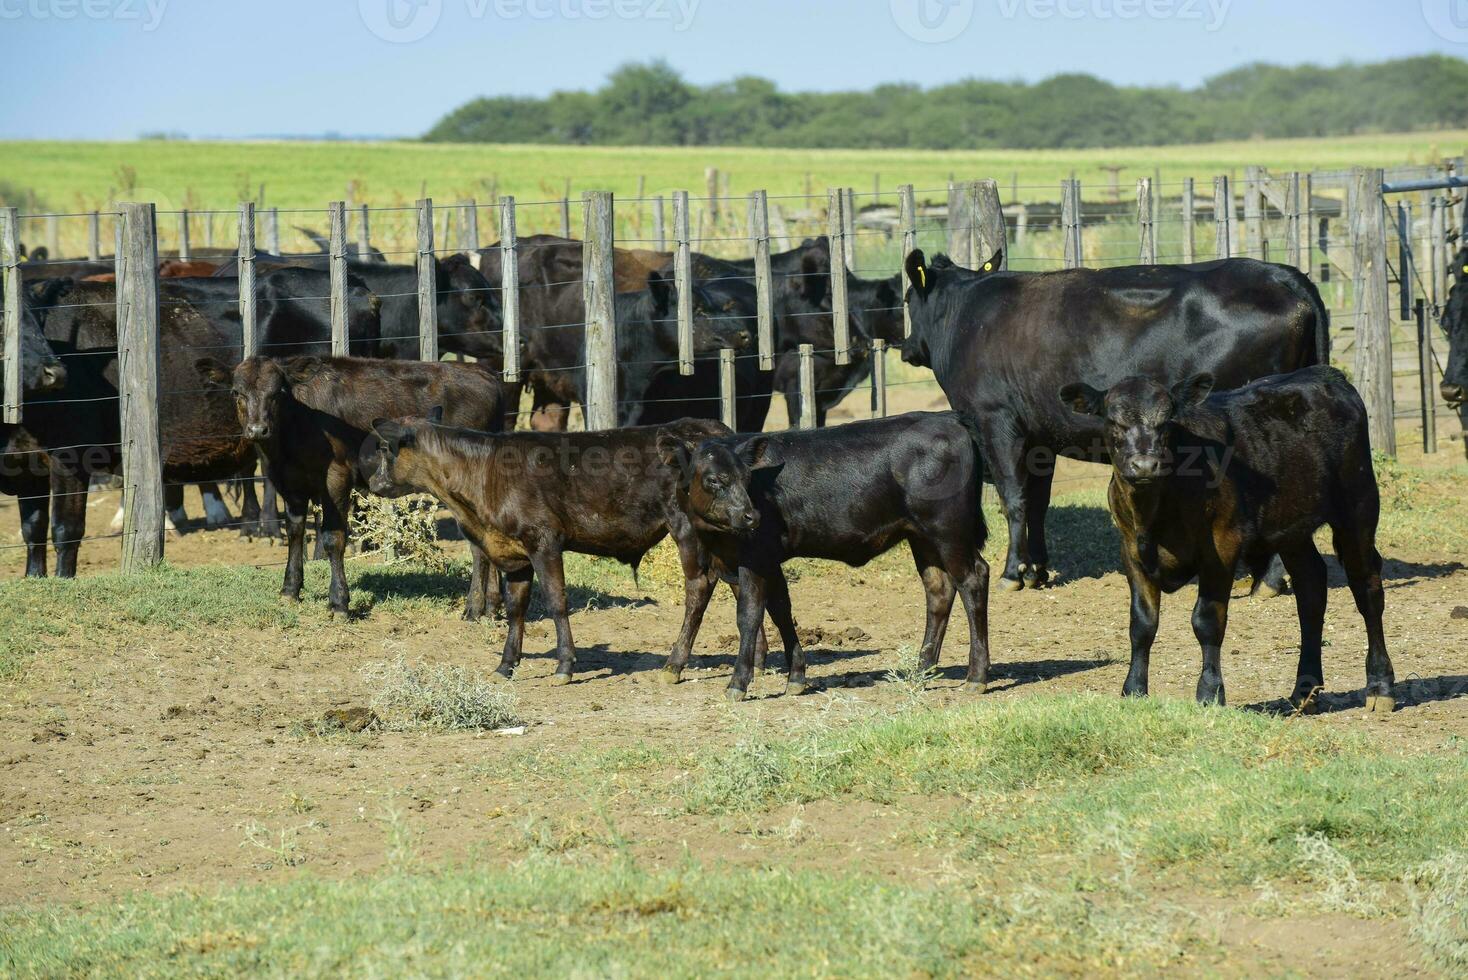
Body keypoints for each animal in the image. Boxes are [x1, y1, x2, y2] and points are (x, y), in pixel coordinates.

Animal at [663, 410, 986, 701]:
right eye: (713, 480)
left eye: (746, 478)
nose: (751, 516)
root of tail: (948, 418)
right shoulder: (768, 559)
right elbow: (780, 610)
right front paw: (796, 678)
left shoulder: (754, 559)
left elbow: (749, 615)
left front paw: (738, 683)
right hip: (923, 538)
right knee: (939, 591)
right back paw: (921, 672)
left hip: (948, 530)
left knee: (973, 580)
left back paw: (976, 677)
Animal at [904, 249, 1332, 592]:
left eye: (907, 300)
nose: (906, 347)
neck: (967, 317)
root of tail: (1277, 273)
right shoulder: (1040, 434)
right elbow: (1038, 501)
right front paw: (1037, 570)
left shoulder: (996, 421)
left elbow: (1014, 498)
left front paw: (1014, 573)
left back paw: (1268, 581)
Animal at [1062, 366, 1391, 712]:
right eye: (1114, 421)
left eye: (1166, 421)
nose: (1145, 465)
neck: (1155, 511)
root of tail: (1326, 373)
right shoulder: (1131, 551)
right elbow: (1142, 624)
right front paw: (1134, 690)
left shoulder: (1221, 546)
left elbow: (1207, 621)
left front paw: (1210, 692)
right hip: (1293, 527)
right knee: (1311, 589)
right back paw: (1305, 690)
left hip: (1358, 507)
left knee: (1367, 589)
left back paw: (1379, 687)